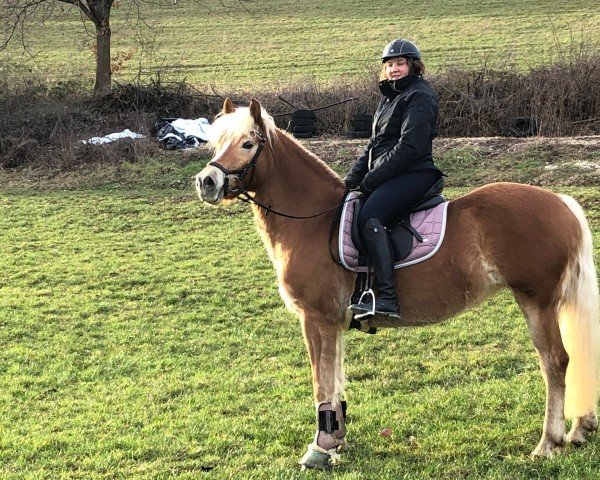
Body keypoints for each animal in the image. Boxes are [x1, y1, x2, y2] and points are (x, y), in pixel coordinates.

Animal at [196, 97, 600, 468]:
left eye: (248, 144)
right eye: (217, 144)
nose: (206, 182)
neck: (315, 220)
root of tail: (561, 202)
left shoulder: (315, 318)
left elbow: (321, 380)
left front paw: (320, 448)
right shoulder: (333, 322)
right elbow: (335, 377)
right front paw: (337, 440)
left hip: (537, 300)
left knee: (555, 361)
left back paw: (549, 442)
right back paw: (579, 429)